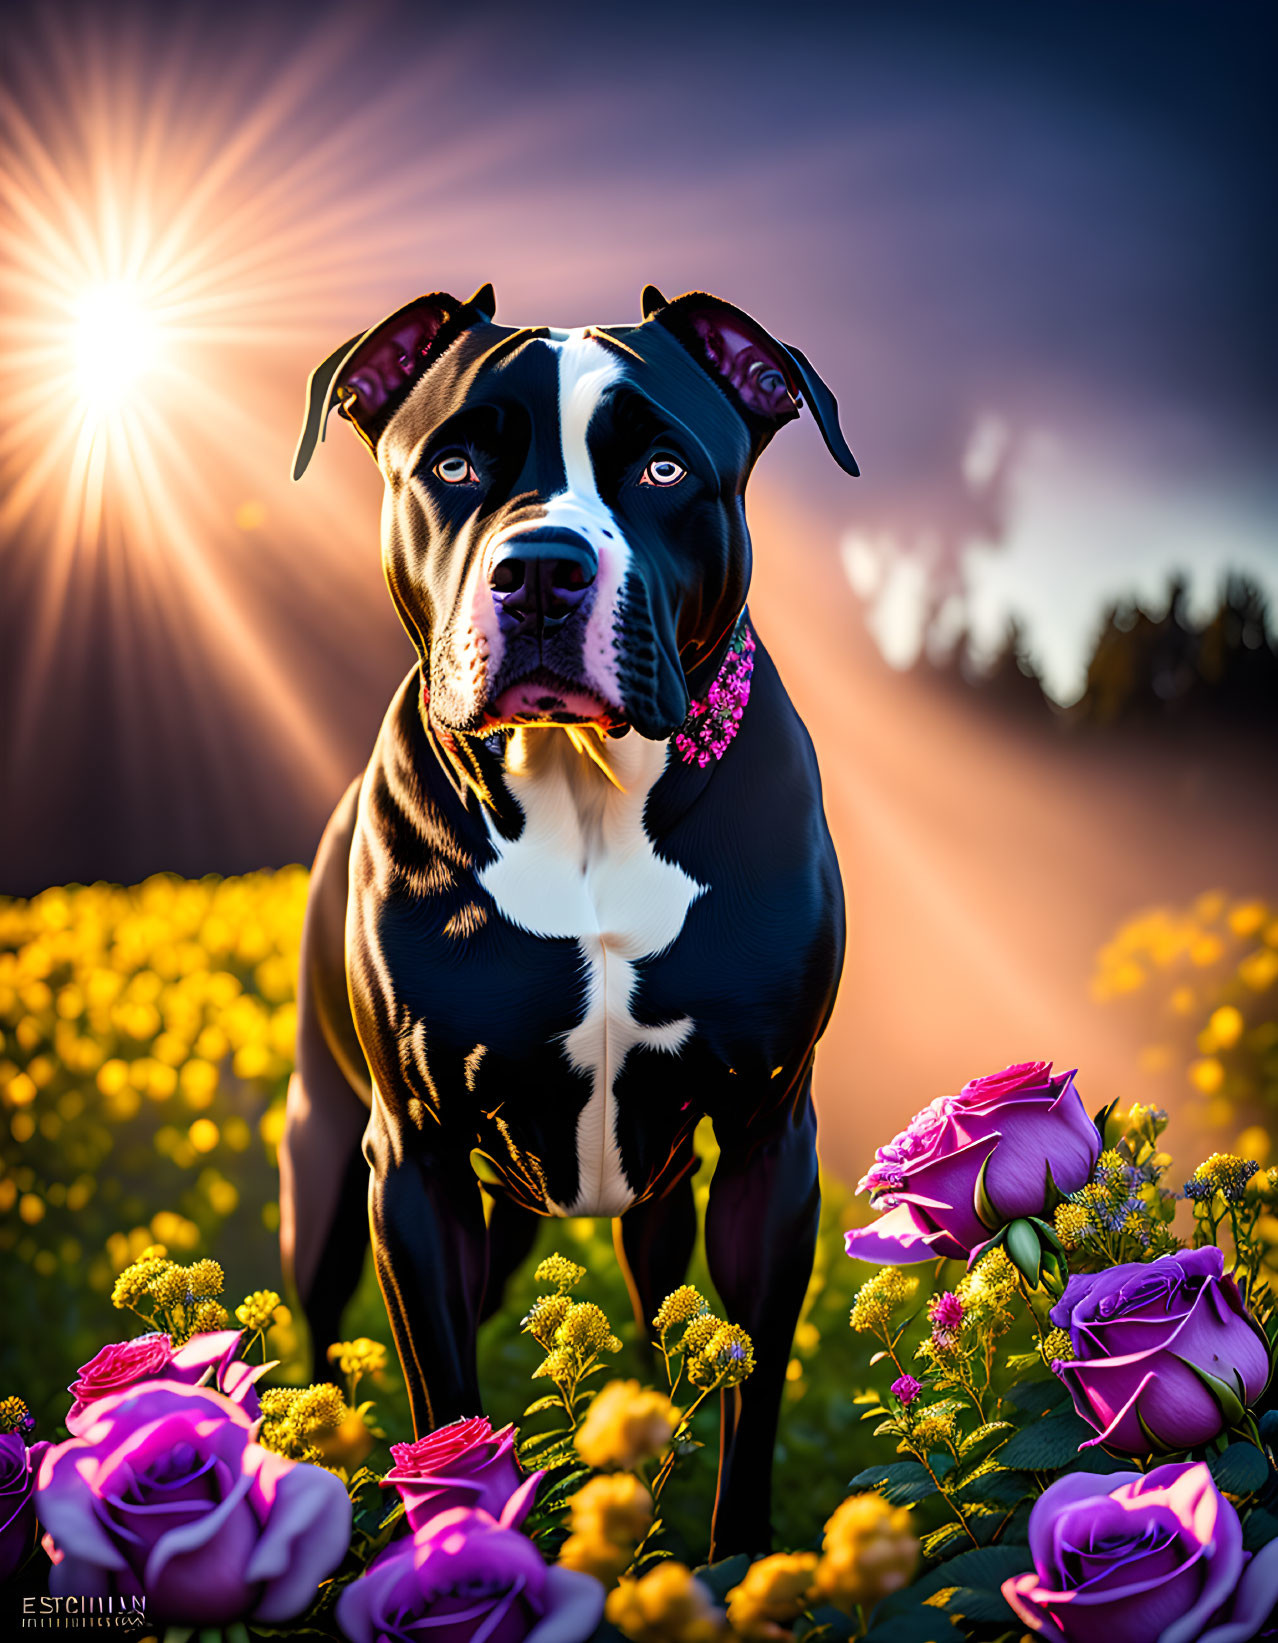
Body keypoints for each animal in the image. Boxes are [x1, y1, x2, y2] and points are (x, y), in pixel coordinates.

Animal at [284, 282, 854, 1550]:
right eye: (452, 463)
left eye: (661, 467)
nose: (540, 569)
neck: (582, 791)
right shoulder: (416, 1160)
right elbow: (442, 1392)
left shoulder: (766, 1139)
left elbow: (749, 1390)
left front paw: (738, 1564)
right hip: (329, 1165)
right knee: (318, 1322)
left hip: (649, 1195)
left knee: (661, 1307)